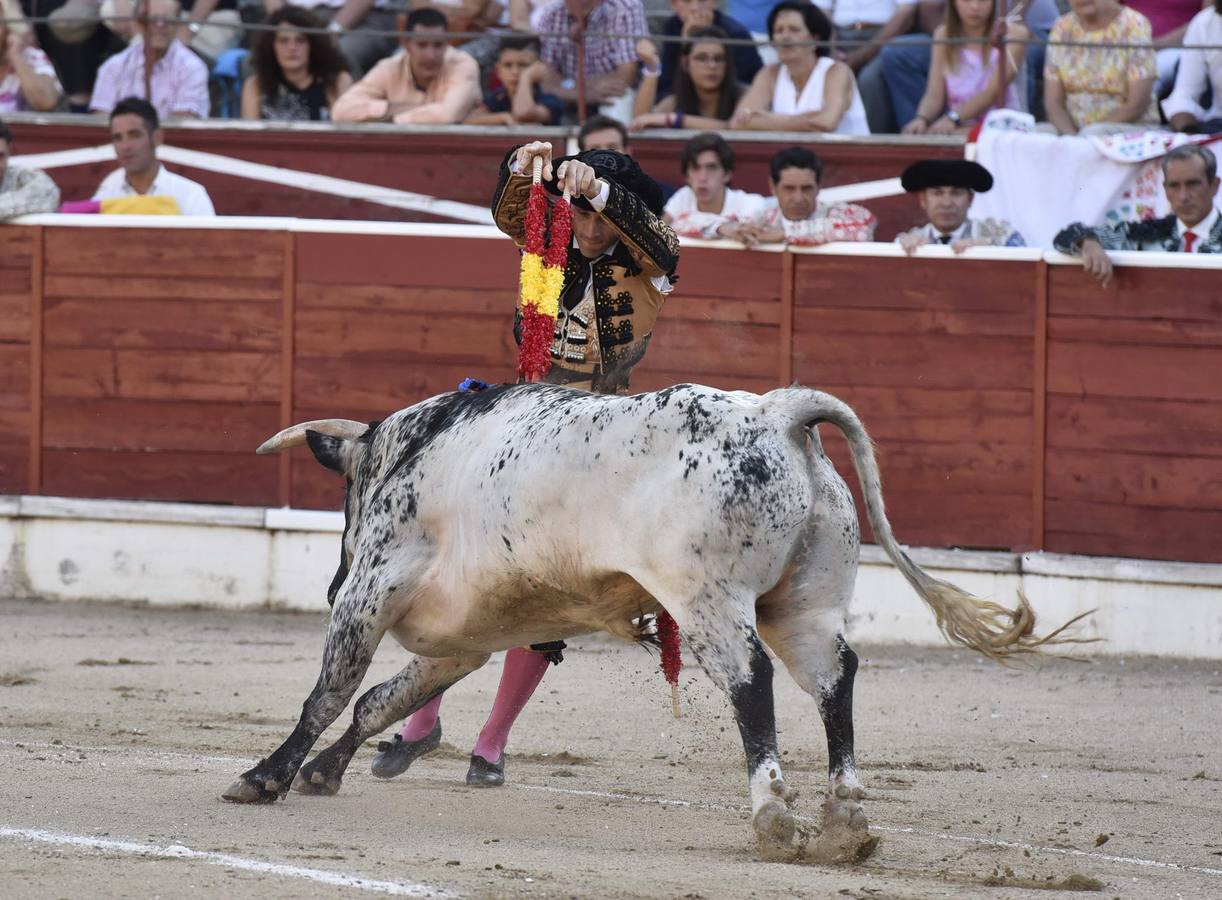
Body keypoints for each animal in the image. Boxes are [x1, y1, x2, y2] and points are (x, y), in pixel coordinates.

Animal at [222, 383, 1080, 860]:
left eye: (348, 498)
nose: (330, 575)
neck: (408, 450)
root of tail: (777, 411)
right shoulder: (468, 638)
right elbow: (380, 701)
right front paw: (325, 771)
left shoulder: (371, 592)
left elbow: (331, 693)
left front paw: (267, 775)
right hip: (805, 603)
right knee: (834, 680)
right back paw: (844, 813)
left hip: (707, 599)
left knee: (750, 679)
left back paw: (773, 812)